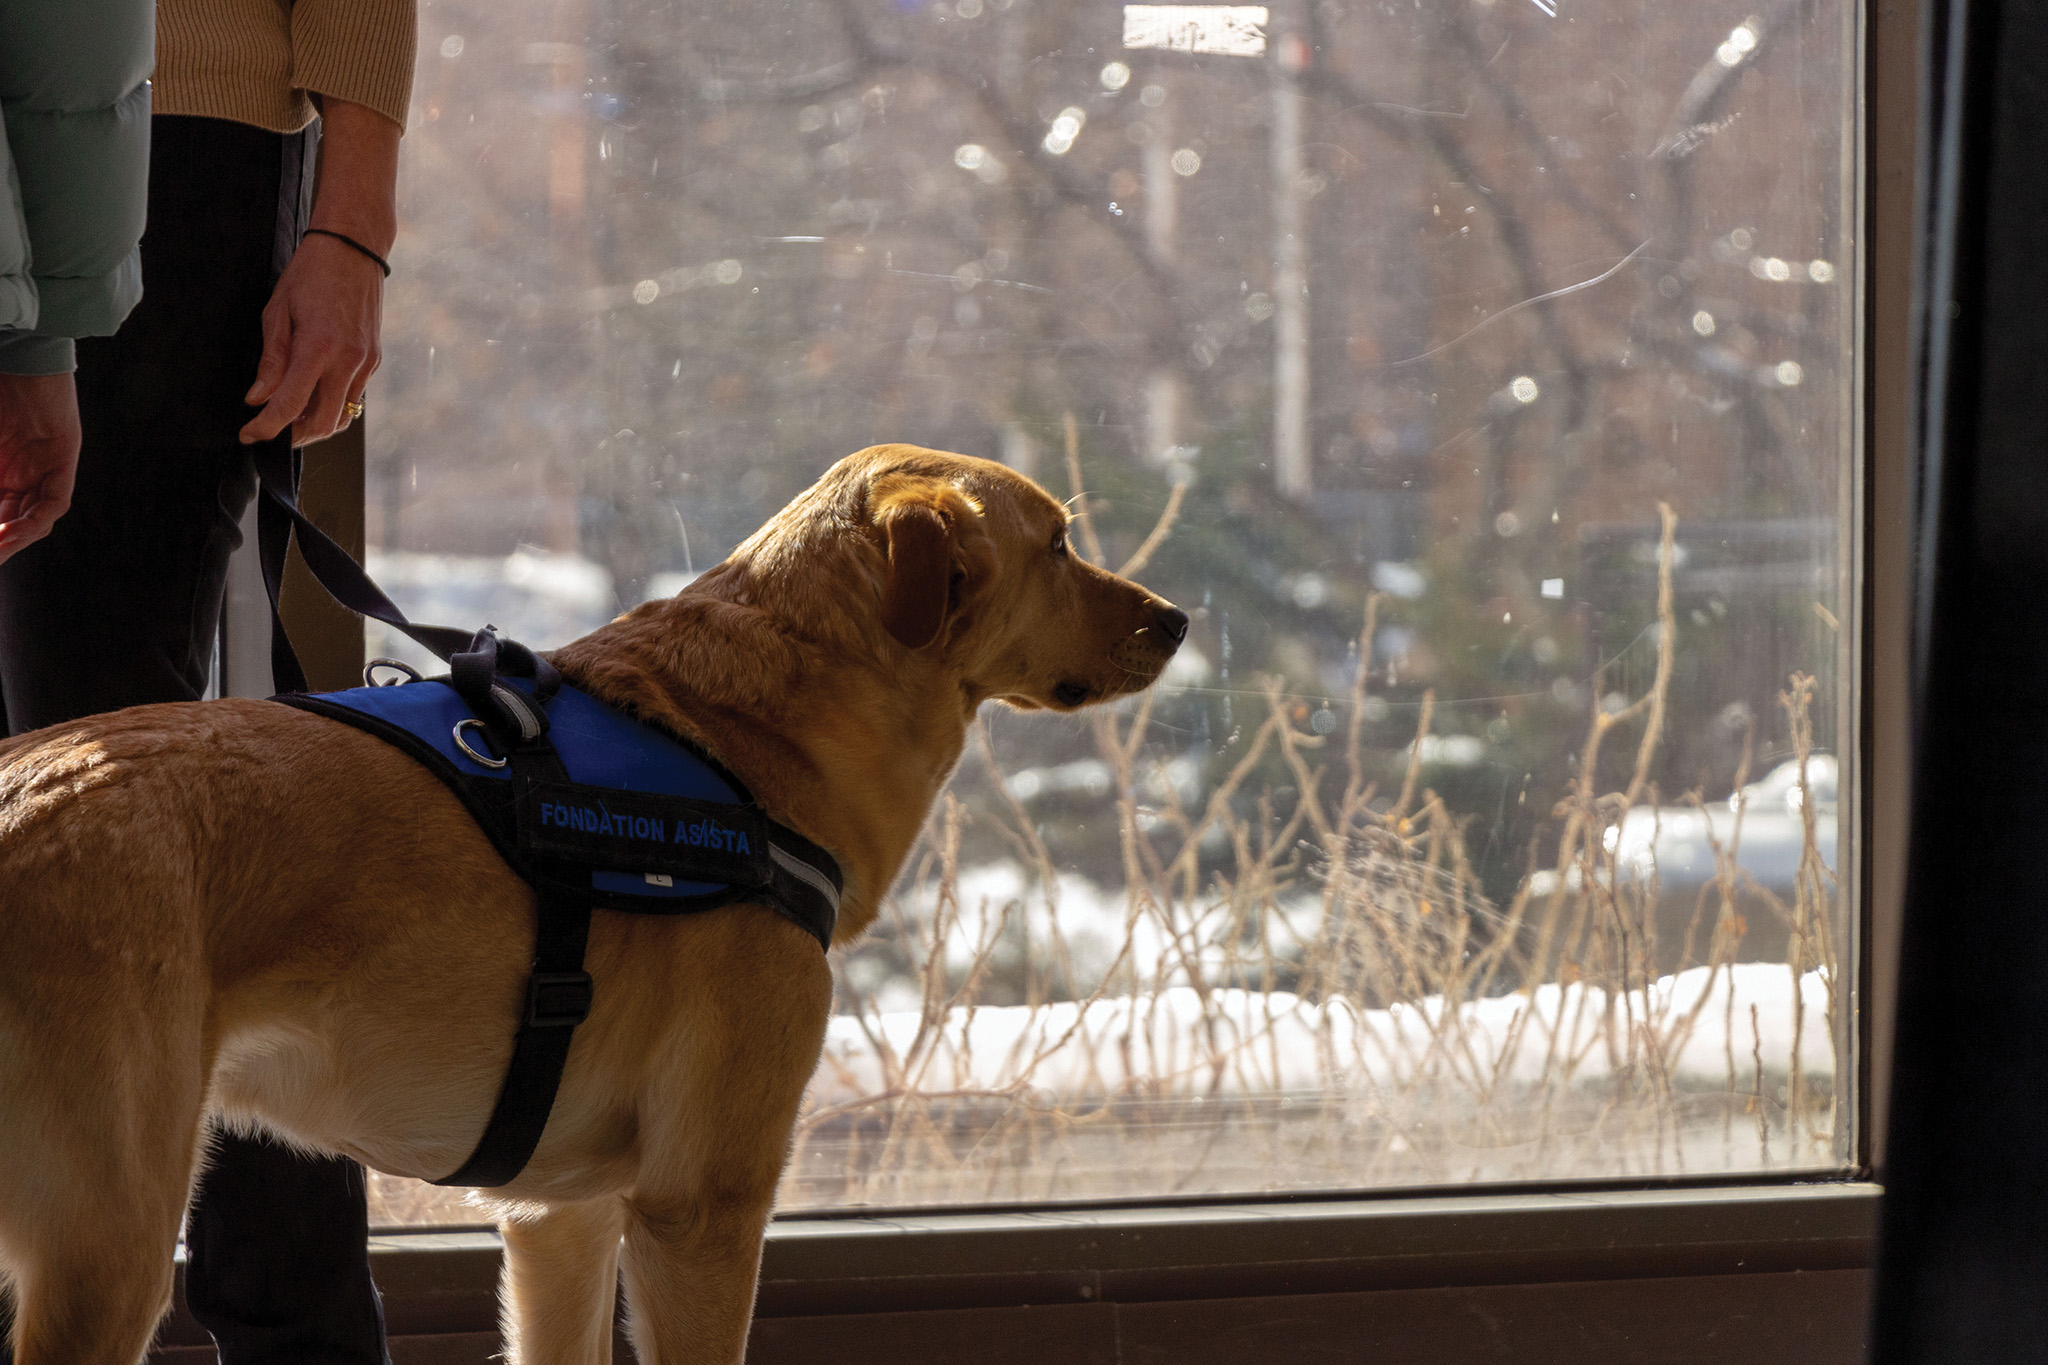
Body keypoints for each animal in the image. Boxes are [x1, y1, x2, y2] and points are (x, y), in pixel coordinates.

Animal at [0, 446, 1187, 1358]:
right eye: (1057, 545)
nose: (1176, 621)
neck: (744, 736)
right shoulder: (701, 1211)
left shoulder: (555, 1220)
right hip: (111, 1247)